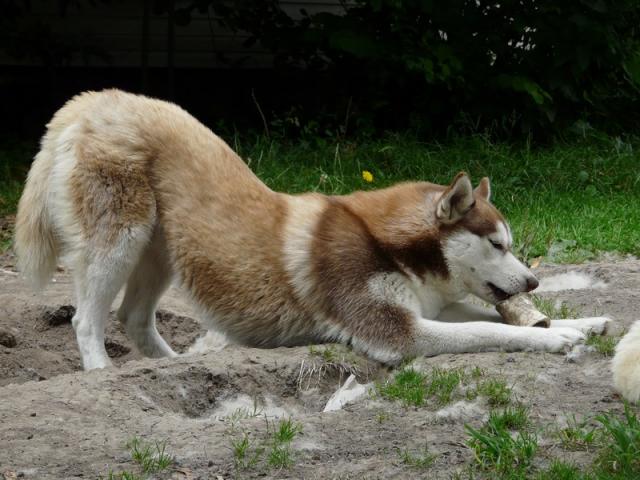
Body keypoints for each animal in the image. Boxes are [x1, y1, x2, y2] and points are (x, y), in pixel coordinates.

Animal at [16, 89, 608, 372]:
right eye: (497, 244)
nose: (533, 282)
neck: (387, 245)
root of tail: (93, 100)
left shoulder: (426, 309)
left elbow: (489, 316)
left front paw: (583, 322)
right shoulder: (397, 333)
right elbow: (491, 331)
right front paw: (556, 337)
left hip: (161, 250)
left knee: (134, 321)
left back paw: (176, 364)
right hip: (120, 241)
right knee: (88, 320)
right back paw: (99, 369)